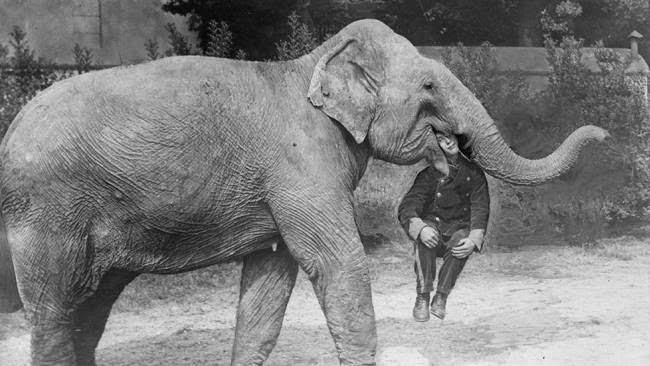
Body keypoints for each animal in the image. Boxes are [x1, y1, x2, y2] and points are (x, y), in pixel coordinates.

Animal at [1, 19, 608, 366]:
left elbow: (272, 280)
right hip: (46, 212)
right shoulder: (300, 166)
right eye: (429, 85)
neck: (311, 62)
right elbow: (338, 263)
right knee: (54, 310)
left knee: (91, 306)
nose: (604, 134)